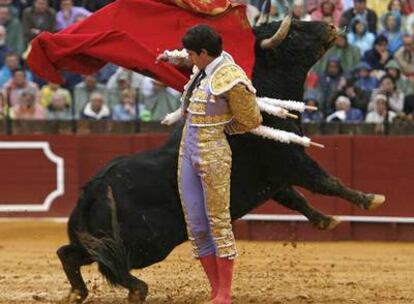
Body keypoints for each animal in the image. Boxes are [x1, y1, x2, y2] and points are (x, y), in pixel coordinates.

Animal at [57, 20, 384, 302]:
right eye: (293, 34)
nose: (330, 25)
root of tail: (95, 187)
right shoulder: (291, 161)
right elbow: (325, 181)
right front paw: (369, 199)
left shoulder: (275, 181)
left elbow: (296, 199)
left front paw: (325, 220)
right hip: (149, 242)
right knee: (109, 262)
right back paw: (137, 289)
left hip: (104, 237)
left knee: (72, 253)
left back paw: (78, 292)